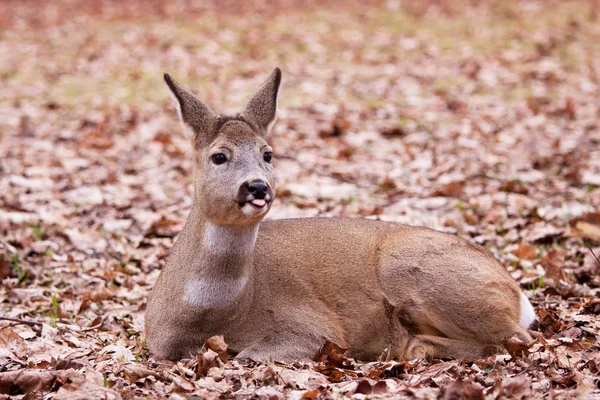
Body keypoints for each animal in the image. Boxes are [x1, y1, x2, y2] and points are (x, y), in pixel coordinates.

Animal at [144, 69, 536, 362]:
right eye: (219, 156)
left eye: (267, 154)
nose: (256, 187)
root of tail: (518, 294)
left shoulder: (314, 326)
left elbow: (248, 355)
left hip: (416, 269)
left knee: (518, 339)